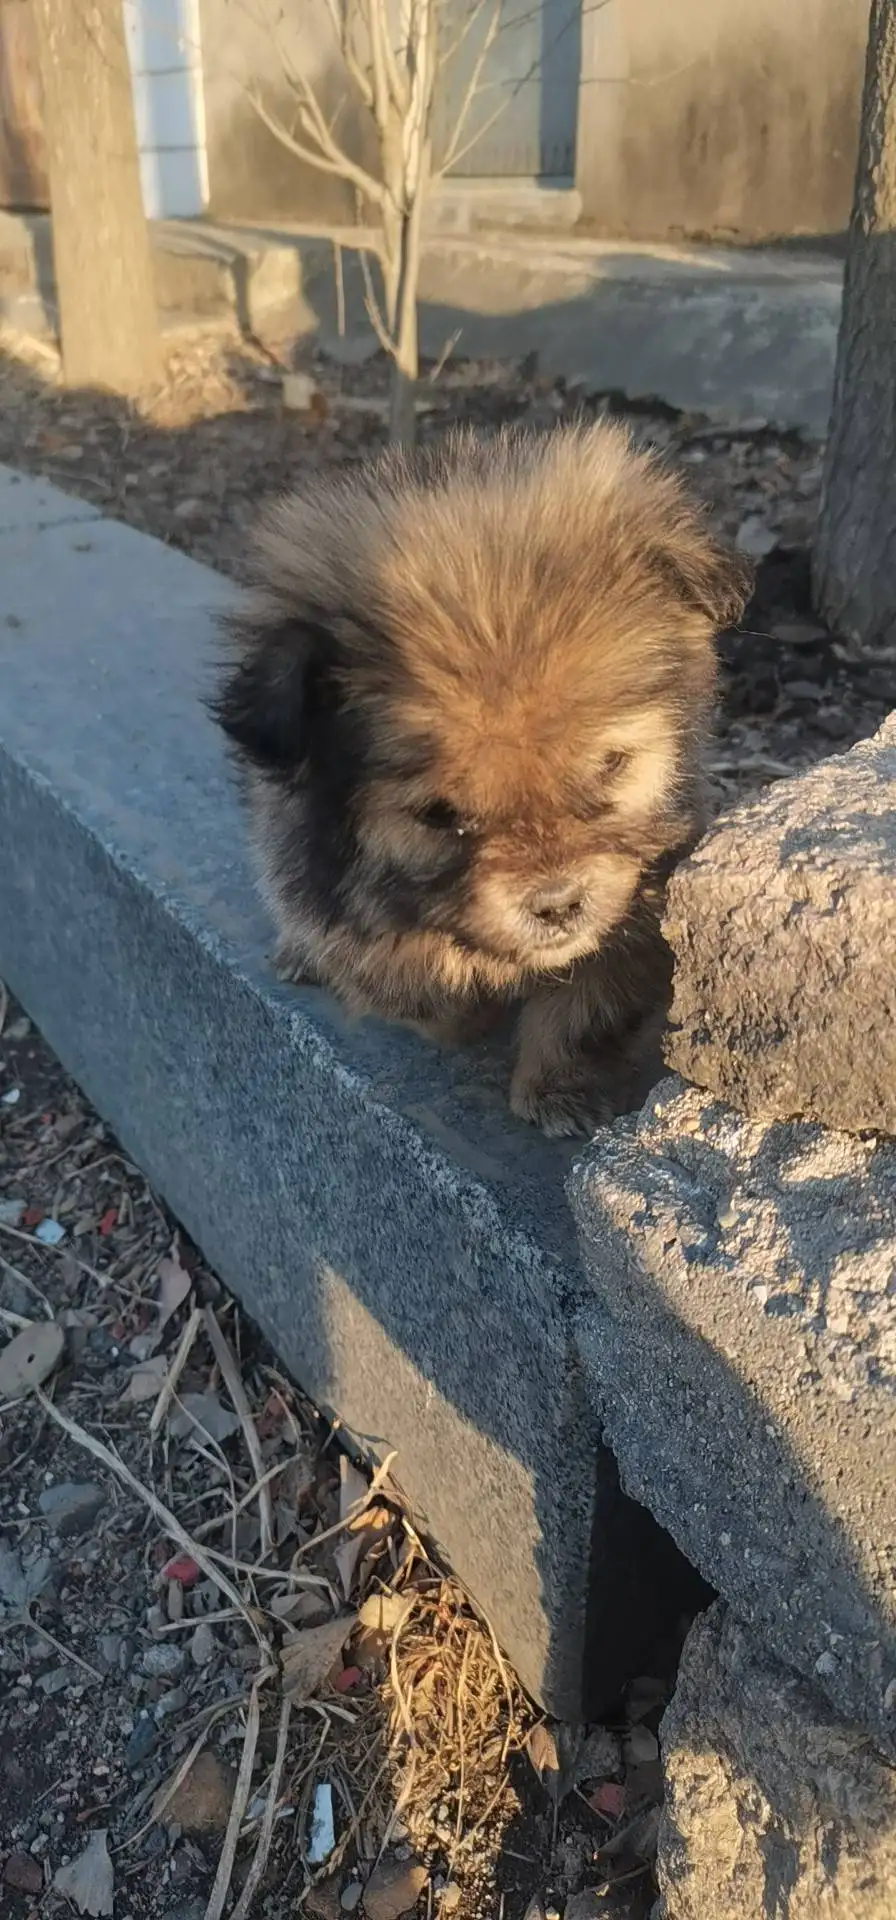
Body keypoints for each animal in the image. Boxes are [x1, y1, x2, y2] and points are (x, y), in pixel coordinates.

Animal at [212, 424, 752, 1136]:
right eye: (440, 815)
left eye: (610, 766)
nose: (557, 904)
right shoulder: (334, 898)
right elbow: (414, 986)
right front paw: (470, 1002)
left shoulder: (643, 895)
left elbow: (589, 1004)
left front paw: (558, 1089)